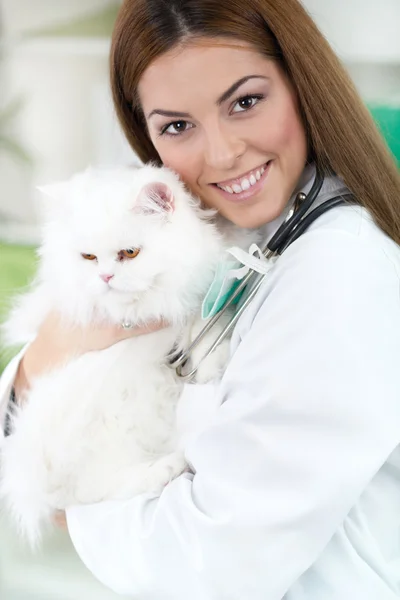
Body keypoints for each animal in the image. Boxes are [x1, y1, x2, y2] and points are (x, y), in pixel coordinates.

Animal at [0, 164, 255, 548]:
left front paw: (209, 360)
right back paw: (168, 467)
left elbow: (203, 317)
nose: (106, 276)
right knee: (90, 491)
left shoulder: (200, 286)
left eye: (130, 253)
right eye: (88, 258)